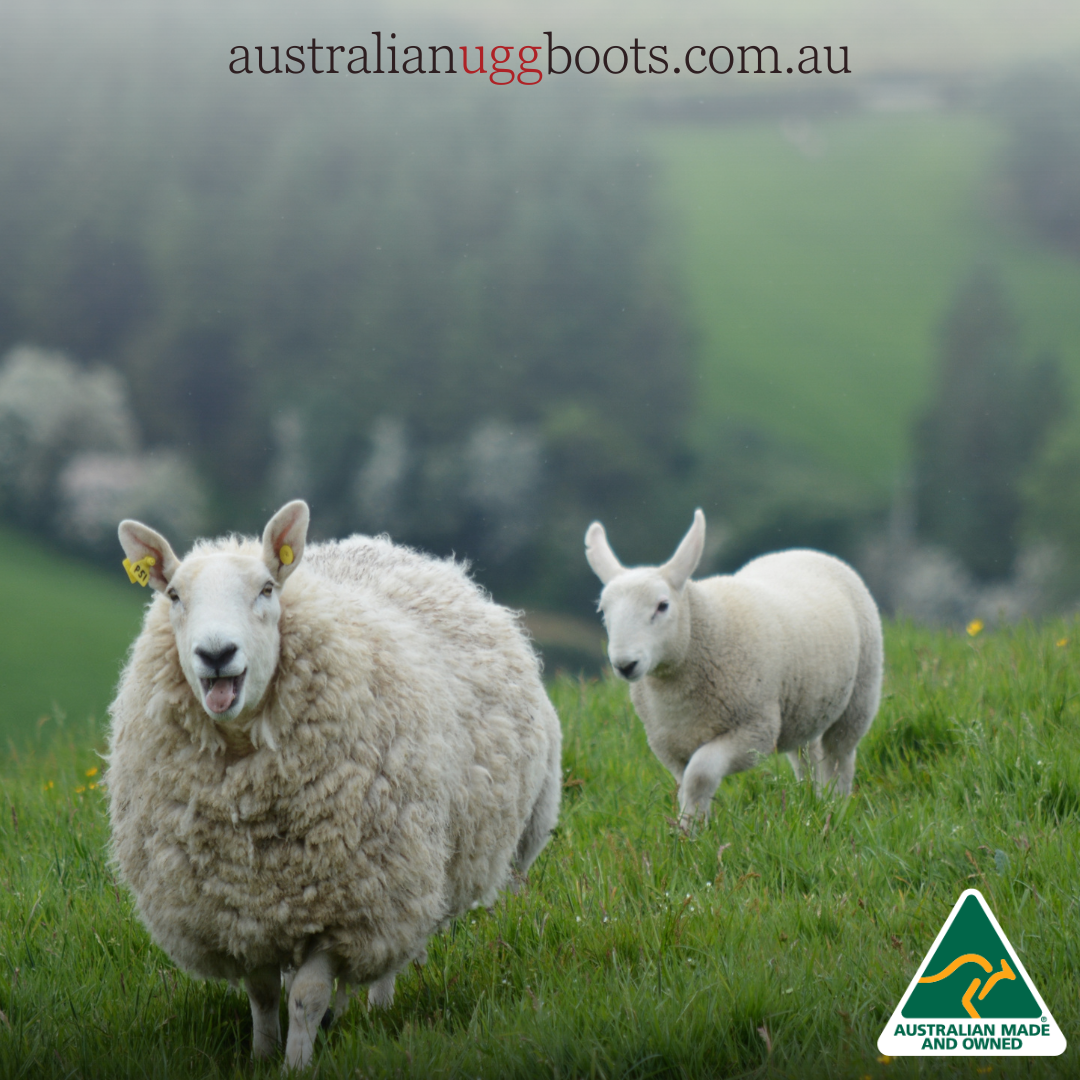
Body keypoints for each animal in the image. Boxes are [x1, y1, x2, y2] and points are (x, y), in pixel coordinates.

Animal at [105, 501, 561, 1067]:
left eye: (266, 589)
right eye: (173, 595)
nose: (216, 654)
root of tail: (385, 547)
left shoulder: (344, 904)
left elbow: (306, 995)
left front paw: (296, 1064)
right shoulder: (238, 908)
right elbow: (263, 993)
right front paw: (262, 1056)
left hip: (410, 872)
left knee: (393, 951)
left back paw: (376, 1010)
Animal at [587, 507, 881, 825]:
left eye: (662, 606)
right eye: (603, 611)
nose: (625, 664)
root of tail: (802, 551)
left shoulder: (755, 730)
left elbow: (700, 774)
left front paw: (690, 828)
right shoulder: (669, 745)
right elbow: (686, 785)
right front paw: (692, 827)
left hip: (860, 696)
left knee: (839, 756)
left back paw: (835, 806)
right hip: (804, 705)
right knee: (808, 754)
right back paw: (813, 803)